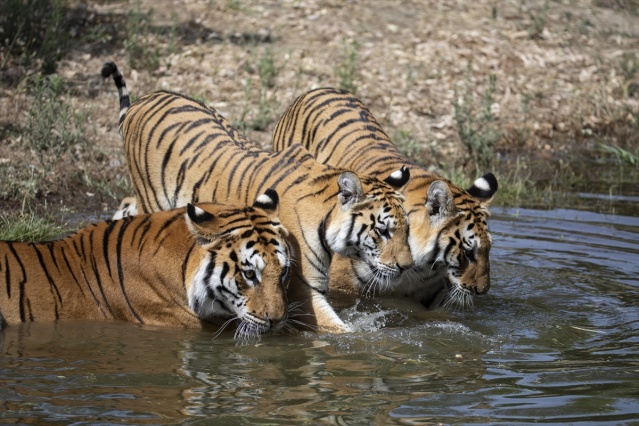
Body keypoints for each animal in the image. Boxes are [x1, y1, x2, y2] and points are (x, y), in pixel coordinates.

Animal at [100, 60, 410, 332]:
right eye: (382, 230)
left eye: (406, 230)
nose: (406, 267)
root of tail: (143, 100)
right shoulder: (303, 294)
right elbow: (340, 331)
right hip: (152, 199)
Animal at [272, 87, 500, 306]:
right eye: (468, 252)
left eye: (488, 249)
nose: (482, 290)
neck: (420, 269)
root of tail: (319, 89)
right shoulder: (341, 286)